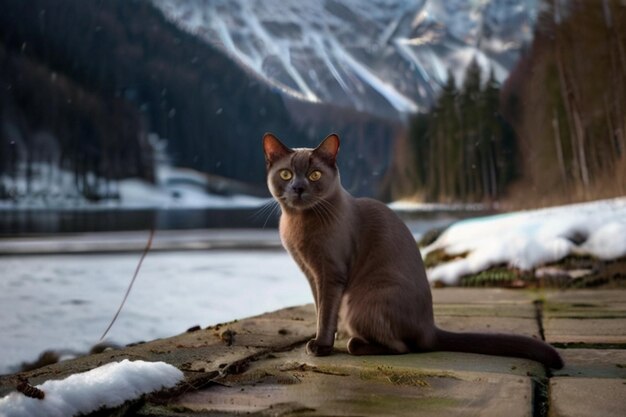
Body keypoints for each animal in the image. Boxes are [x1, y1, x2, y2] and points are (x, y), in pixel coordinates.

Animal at [260, 132, 564, 368]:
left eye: (314, 175)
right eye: (286, 174)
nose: (298, 188)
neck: (297, 224)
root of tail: (430, 328)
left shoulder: (330, 274)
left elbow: (325, 313)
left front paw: (321, 347)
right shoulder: (311, 274)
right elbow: (320, 309)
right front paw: (324, 341)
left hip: (359, 303)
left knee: (402, 347)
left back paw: (354, 343)